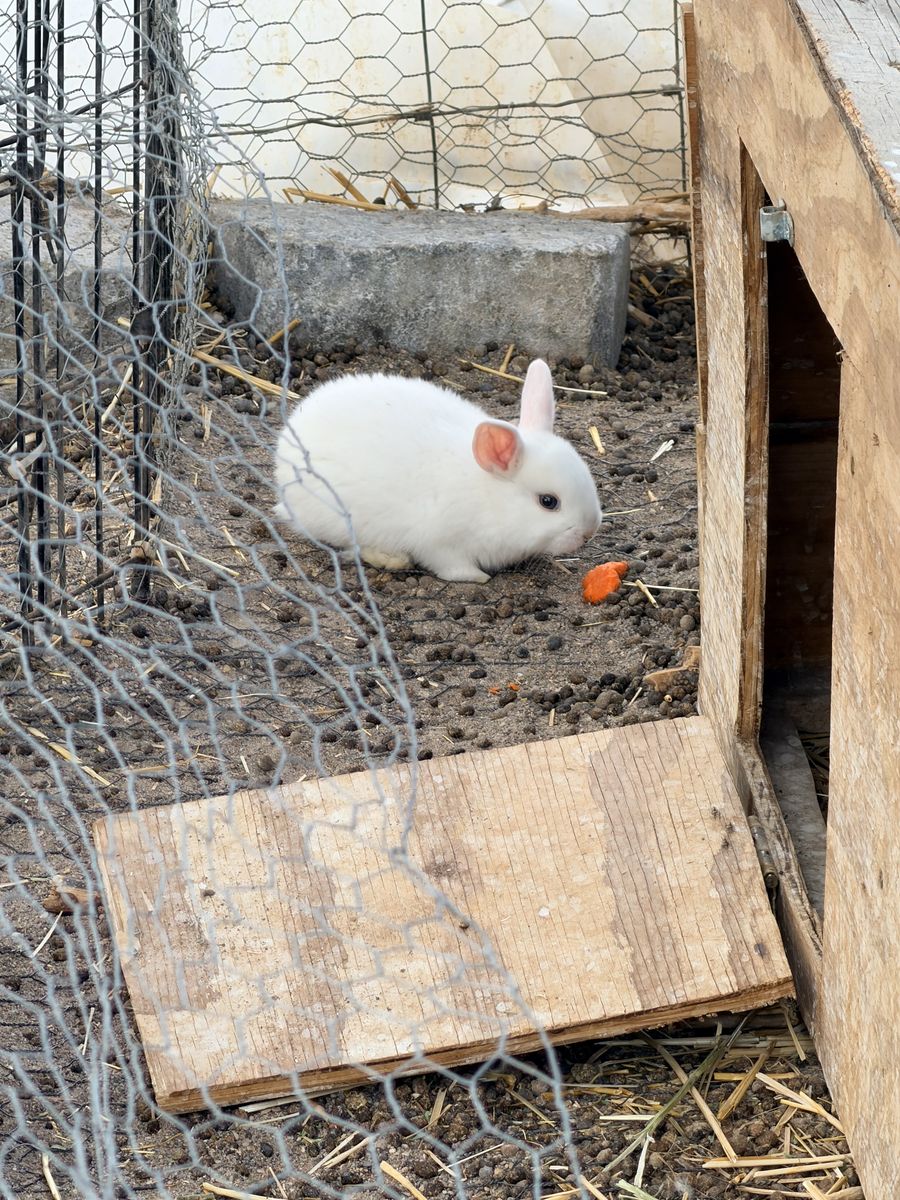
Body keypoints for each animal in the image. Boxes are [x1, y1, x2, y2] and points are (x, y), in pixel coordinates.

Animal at [273, 358, 602, 583]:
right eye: (548, 502)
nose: (588, 533)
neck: (487, 497)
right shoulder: (441, 545)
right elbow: (452, 567)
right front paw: (478, 577)